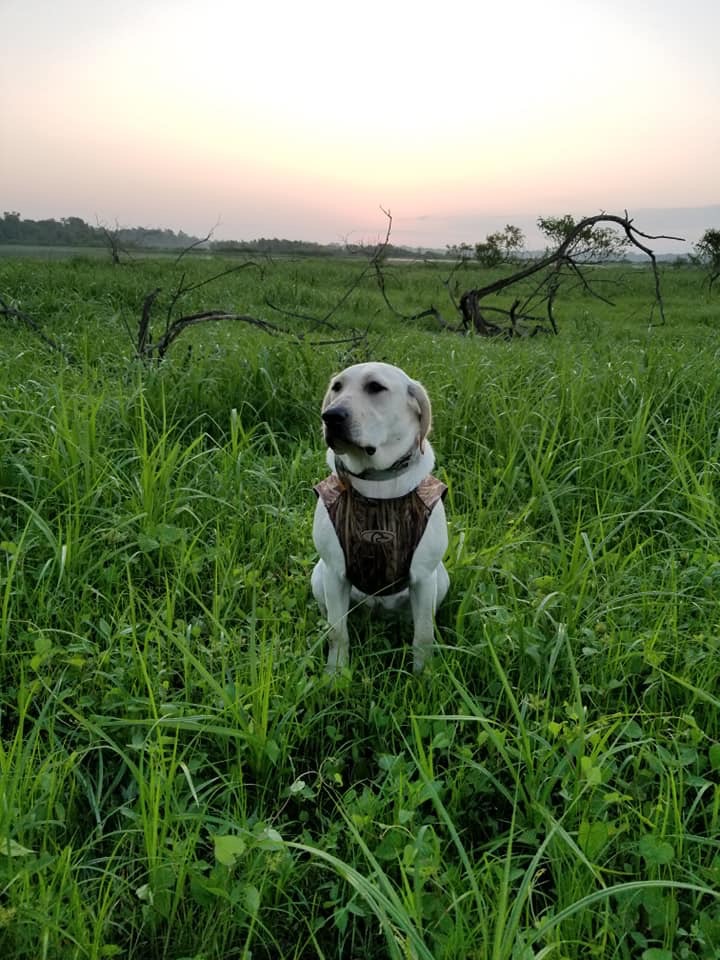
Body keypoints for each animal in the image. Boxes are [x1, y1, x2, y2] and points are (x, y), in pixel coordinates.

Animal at [310, 364, 448, 672]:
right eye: (337, 387)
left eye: (375, 387)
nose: (331, 416)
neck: (377, 483)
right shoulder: (334, 573)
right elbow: (338, 633)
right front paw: (335, 674)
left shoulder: (424, 578)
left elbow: (423, 635)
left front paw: (423, 675)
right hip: (318, 575)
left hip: (441, 579)